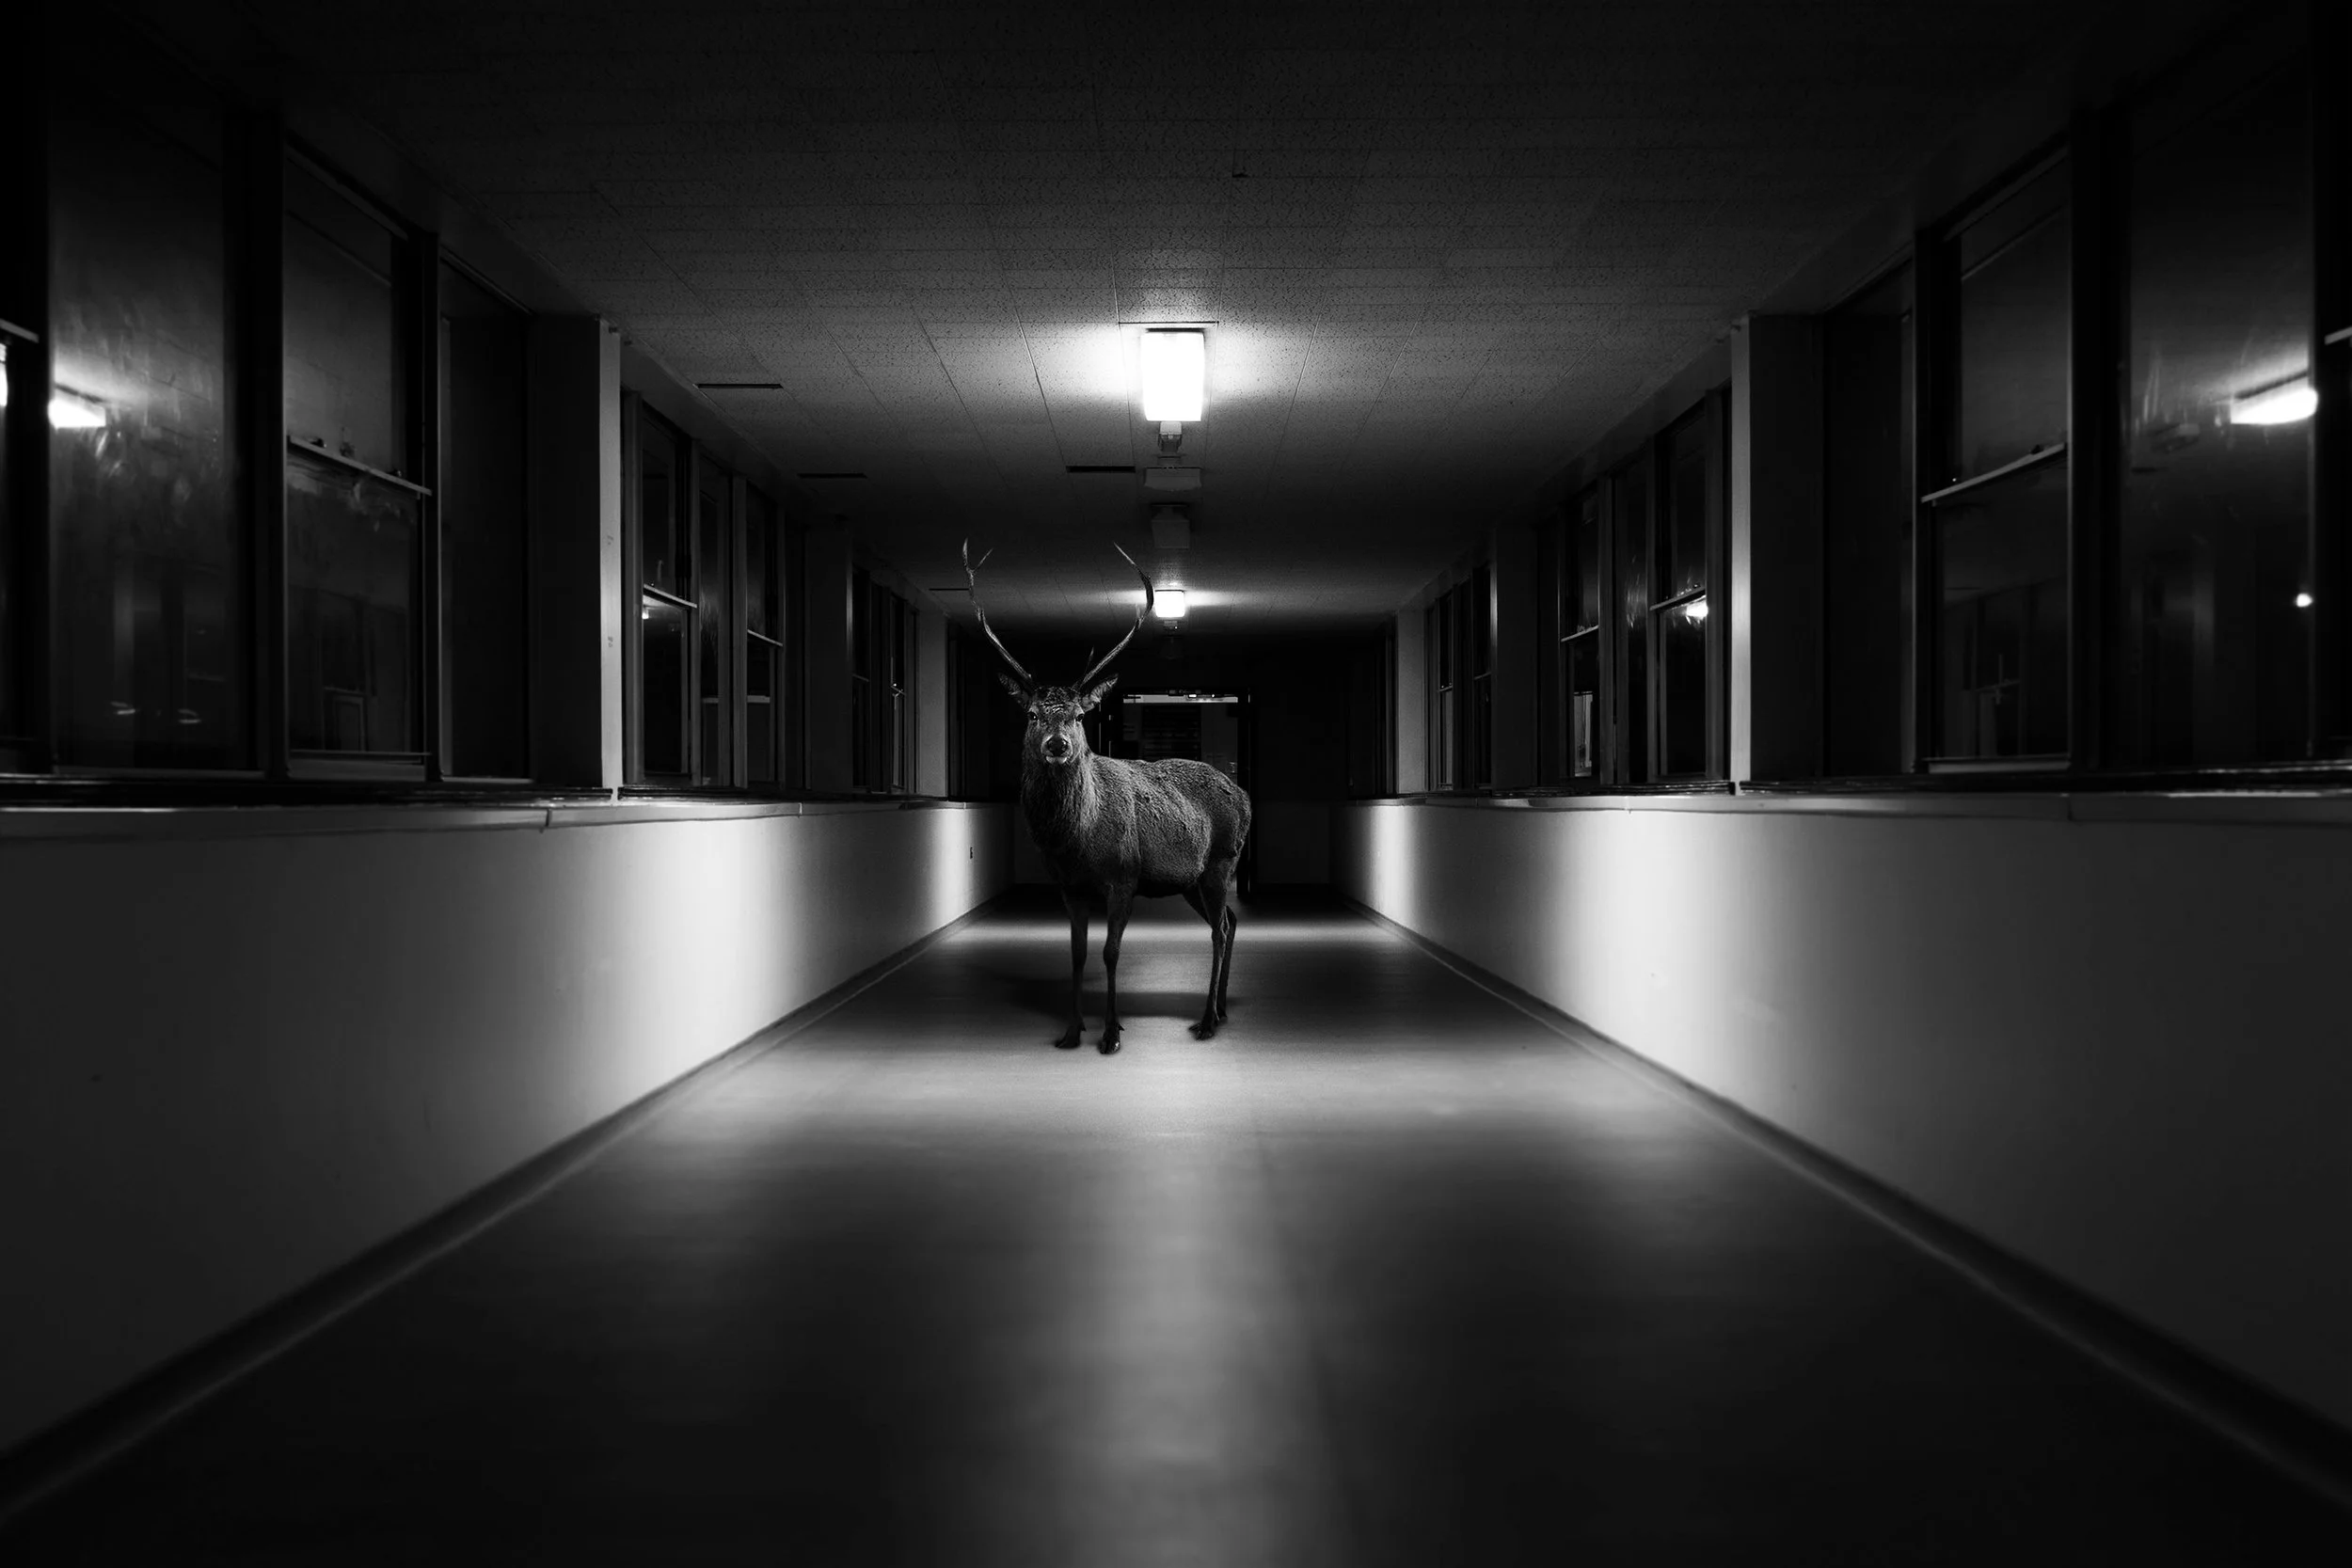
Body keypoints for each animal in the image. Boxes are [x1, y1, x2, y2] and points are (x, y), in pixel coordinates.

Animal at [965, 540, 1252, 1055]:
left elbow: (1110, 952)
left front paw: (1112, 1033)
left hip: (1223, 860)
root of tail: (1245, 797)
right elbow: (1077, 954)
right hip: (1192, 879)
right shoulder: (1068, 887)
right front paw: (1071, 1030)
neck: (1074, 843)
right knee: (1231, 921)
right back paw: (1220, 1009)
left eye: (1079, 716)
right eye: (1033, 714)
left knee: (1220, 929)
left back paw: (1206, 1022)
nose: (1058, 745)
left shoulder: (1124, 876)